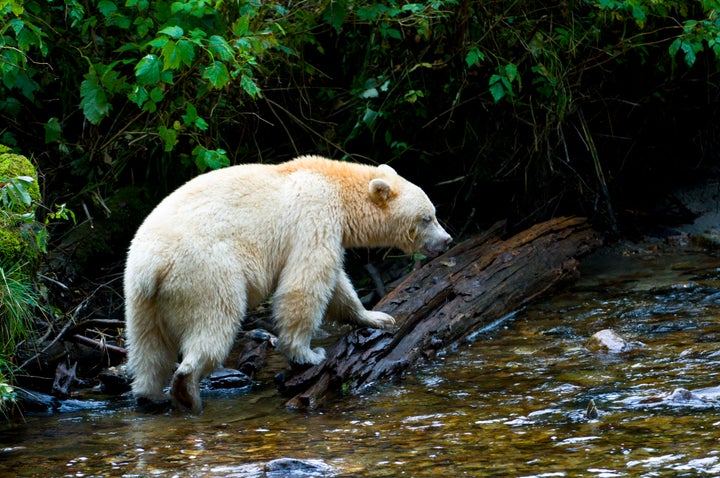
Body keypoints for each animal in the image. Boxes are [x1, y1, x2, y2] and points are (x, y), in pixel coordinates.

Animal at [124, 155, 450, 412]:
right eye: (427, 217)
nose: (447, 240)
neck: (336, 186)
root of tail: (153, 265)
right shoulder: (315, 219)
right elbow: (306, 282)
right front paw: (308, 354)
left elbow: (337, 285)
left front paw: (377, 317)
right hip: (206, 271)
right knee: (215, 320)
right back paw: (188, 391)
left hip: (142, 297)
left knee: (147, 347)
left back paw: (150, 396)